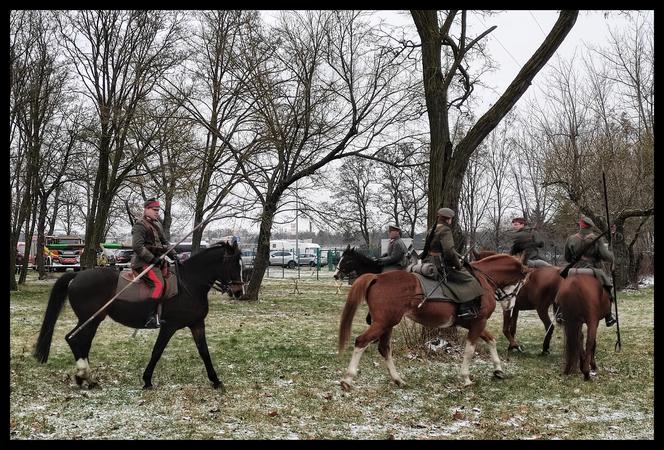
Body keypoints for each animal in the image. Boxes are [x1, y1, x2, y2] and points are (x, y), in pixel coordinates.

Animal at [31, 243, 244, 390]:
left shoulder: (197, 324)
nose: (239, 291)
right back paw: (85, 376)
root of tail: (77, 276)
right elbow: (157, 351)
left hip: (92, 320)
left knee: (82, 343)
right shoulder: (169, 326)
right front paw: (147, 380)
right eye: (233, 263)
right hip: (90, 319)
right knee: (73, 339)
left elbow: (204, 352)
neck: (190, 283)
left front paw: (216, 380)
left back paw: (86, 378)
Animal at [338, 253, 528, 390]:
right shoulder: (479, 322)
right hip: (382, 323)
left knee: (384, 348)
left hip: (388, 324)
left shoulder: (472, 323)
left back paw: (398, 380)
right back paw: (348, 379)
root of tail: (378, 277)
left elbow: (491, 340)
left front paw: (498, 369)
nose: (510, 305)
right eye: (521, 283)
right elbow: (470, 350)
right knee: (361, 341)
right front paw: (466, 378)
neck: (482, 281)